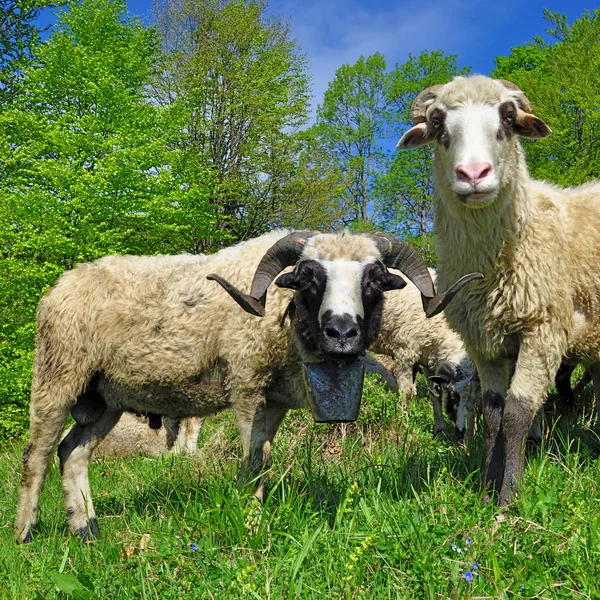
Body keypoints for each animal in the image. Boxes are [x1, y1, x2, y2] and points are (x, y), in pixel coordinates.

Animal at [15, 227, 482, 540]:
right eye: (308, 276)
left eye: (374, 279)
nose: (342, 332)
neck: (285, 316)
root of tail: (59, 286)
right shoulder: (245, 384)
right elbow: (253, 459)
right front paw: (252, 524)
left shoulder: (274, 401)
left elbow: (263, 460)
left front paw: (249, 510)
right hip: (58, 375)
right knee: (37, 455)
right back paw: (25, 533)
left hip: (104, 397)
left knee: (73, 453)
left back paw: (86, 530)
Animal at [398, 74, 600, 506]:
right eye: (437, 122)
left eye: (508, 116)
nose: (474, 173)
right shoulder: (482, 341)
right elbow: (492, 414)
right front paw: (488, 487)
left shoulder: (542, 332)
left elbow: (517, 413)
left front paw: (510, 497)